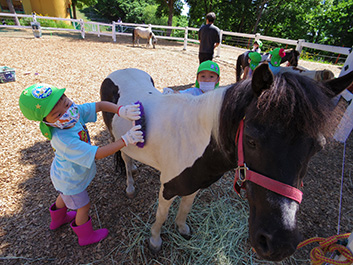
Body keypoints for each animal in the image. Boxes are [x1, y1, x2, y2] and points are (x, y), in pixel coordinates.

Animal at [99, 65, 352, 260]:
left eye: (318, 146)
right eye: (251, 139)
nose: (279, 244)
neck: (194, 137)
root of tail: (119, 72)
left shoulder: (194, 183)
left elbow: (185, 208)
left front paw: (182, 229)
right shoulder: (168, 188)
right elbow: (161, 215)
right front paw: (155, 240)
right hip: (115, 137)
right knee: (124, 157)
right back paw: (130, 185)